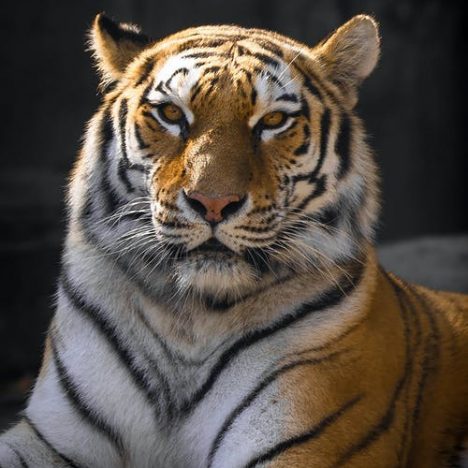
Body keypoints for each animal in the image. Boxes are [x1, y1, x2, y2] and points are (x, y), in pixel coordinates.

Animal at [0, 11, 468, 468]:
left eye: (274, 121)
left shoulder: (302, 440)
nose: (212, 203)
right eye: (171, 114)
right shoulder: (49, 436)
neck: (188, 320)